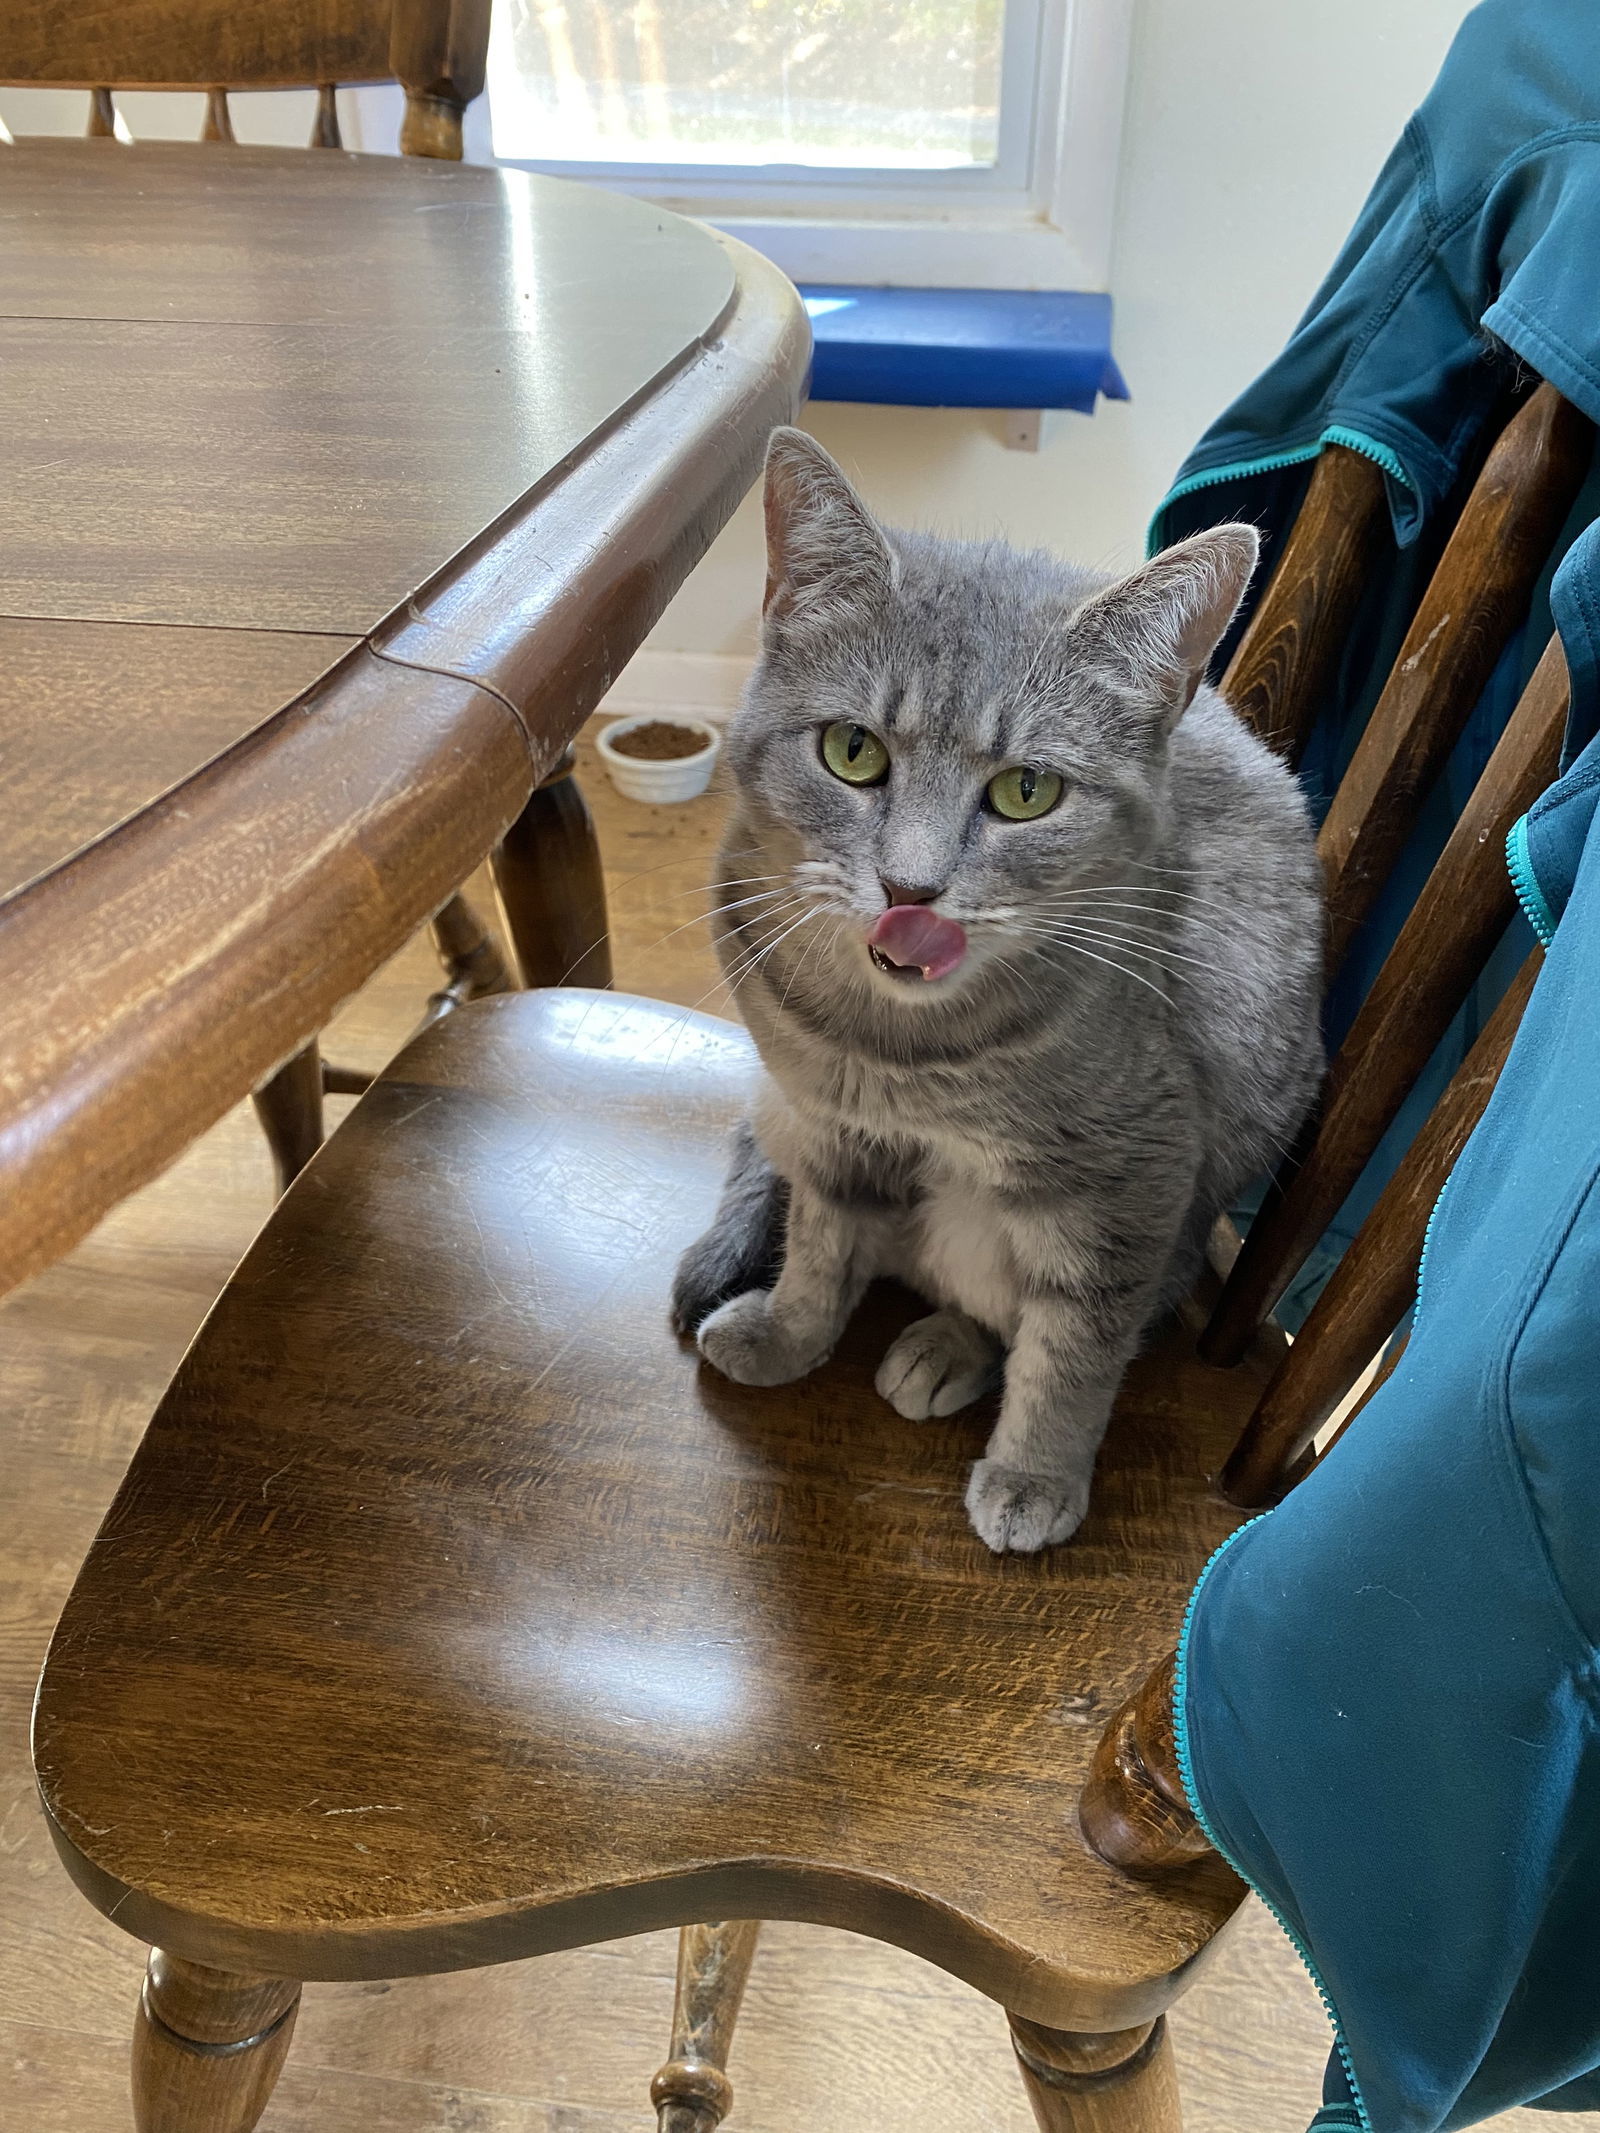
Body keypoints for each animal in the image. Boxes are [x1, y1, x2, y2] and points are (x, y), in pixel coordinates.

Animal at [669, 428, 1322, 1552]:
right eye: (851, 751)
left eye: (1027, 792)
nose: (911, 889)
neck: (895, 1053)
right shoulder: (828, 1124)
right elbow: (818, 1247)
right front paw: (792, 1332)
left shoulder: (1133, 1178)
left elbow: (1078, 1342)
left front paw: (1036, 1471)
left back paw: (950, 1348)